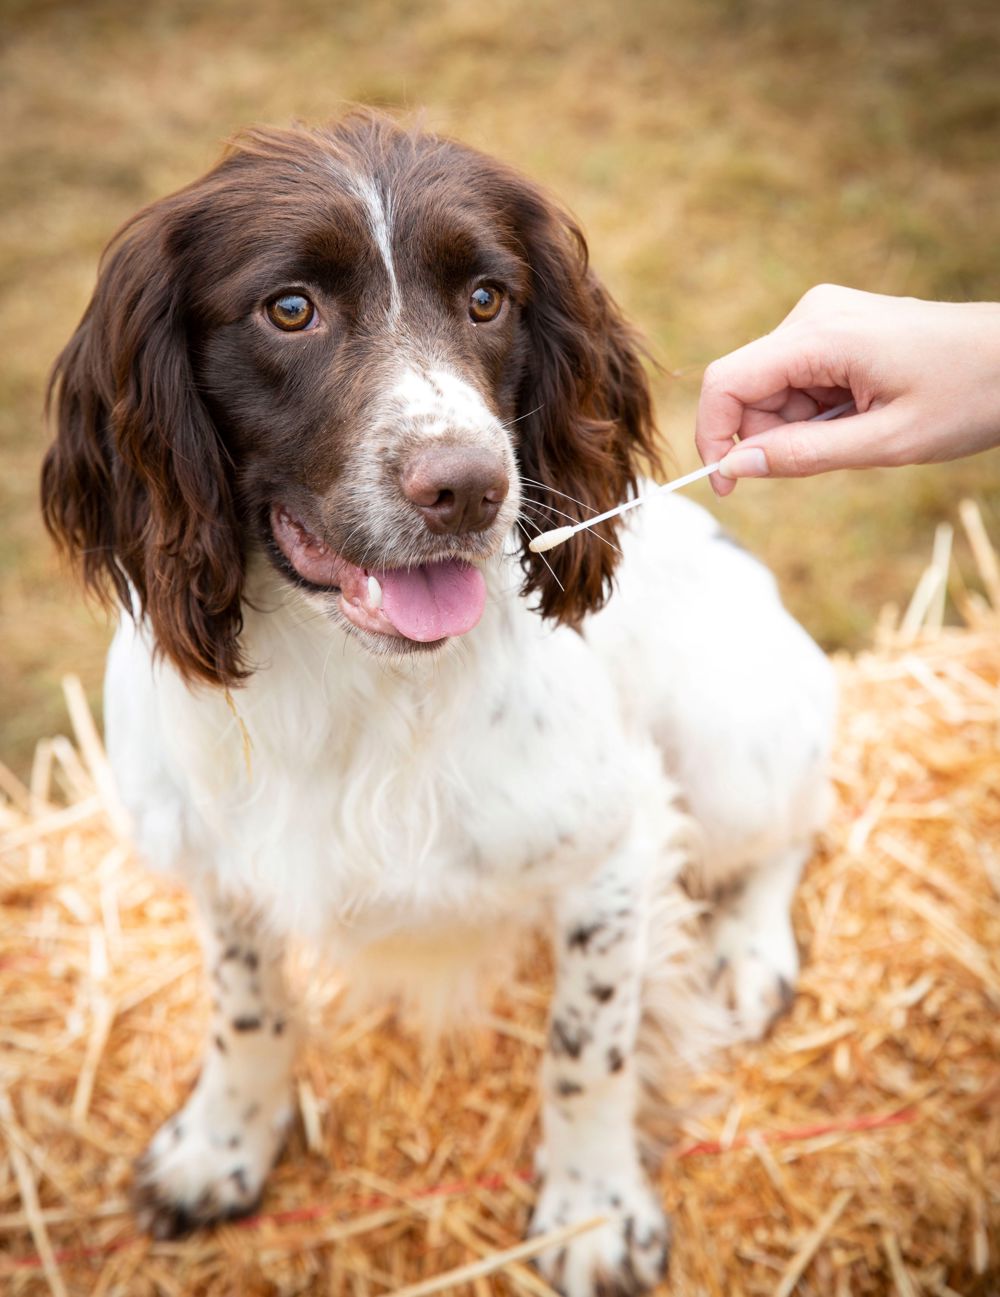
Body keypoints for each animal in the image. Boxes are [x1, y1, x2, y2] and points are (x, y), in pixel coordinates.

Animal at [41, 114, 835, 1297]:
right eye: (289, 308)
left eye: (487, 298)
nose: (469, 488)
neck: (358, 682)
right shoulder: (218, 863)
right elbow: (248, 1011)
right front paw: (220, 1149)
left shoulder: (610, 850)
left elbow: (587, 1048)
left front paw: (592, 1211)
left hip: (734, 742)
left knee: (792, 824)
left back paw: (746, 953)